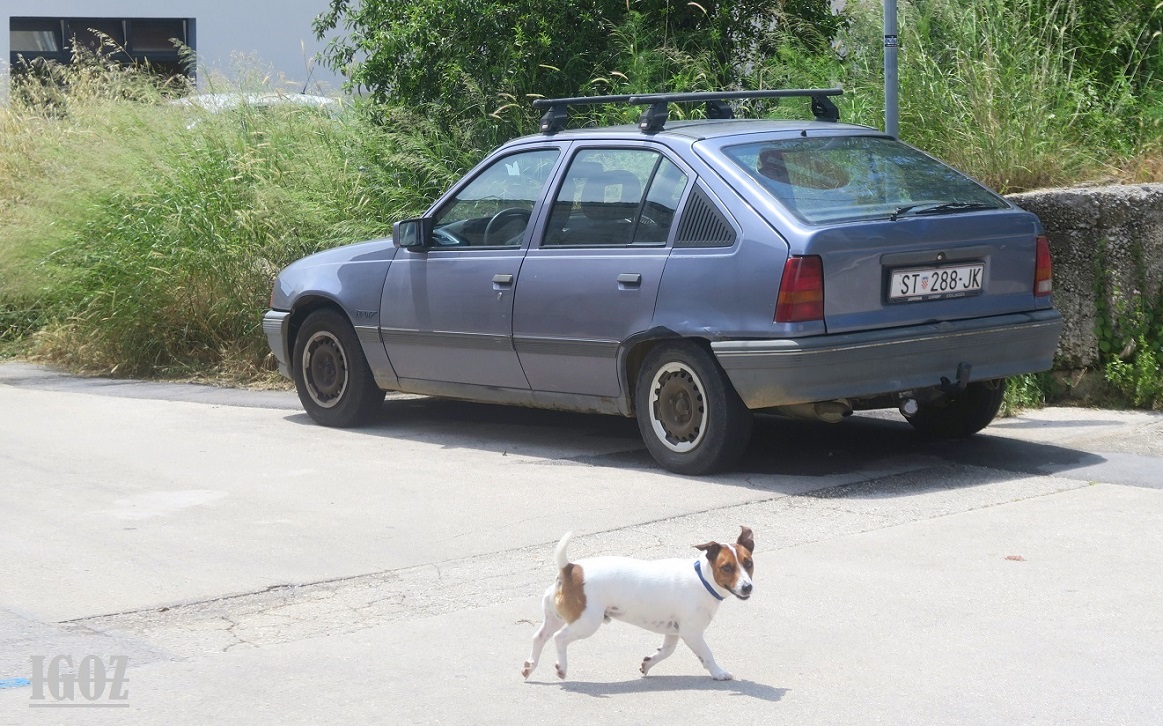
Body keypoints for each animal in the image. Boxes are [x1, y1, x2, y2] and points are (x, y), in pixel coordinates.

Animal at [518, 528, 753, 679]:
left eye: (748, 563)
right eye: (727, 568)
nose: (747, 587)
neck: (702, 578)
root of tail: (570, 569)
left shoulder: (673, 632)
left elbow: (666, 651)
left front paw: (648, 663)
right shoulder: (692, 633)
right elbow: (707, 655)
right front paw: (719, 673)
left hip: (556, 618)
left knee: (539, 637)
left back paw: (530, 666)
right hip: (586, 623)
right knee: (559, 638)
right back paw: (562, 668)